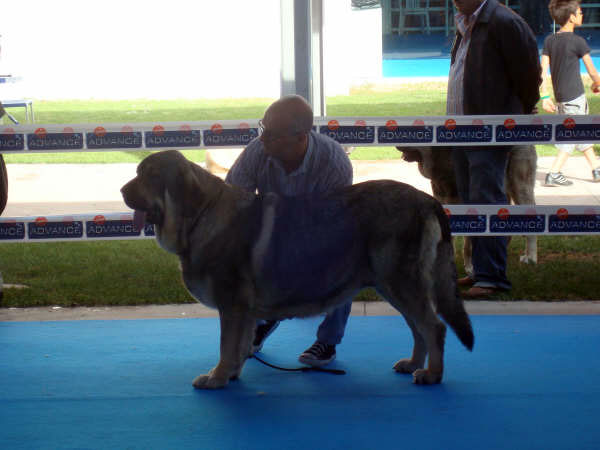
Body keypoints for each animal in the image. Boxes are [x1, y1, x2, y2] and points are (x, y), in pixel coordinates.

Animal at [120, 149, 474, 388]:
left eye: (149, 175)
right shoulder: (243, 311)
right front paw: (231, 374)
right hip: (393, 286)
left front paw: (217, 377)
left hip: (401, 282)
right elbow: (239, 345)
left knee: (434, 327)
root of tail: (426, 200)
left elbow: (226, 345)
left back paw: (432, 374)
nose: (123, 191)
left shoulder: (232, 306)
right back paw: (412, 363)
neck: (200, 216)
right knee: (418, 328)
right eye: (138, 172)